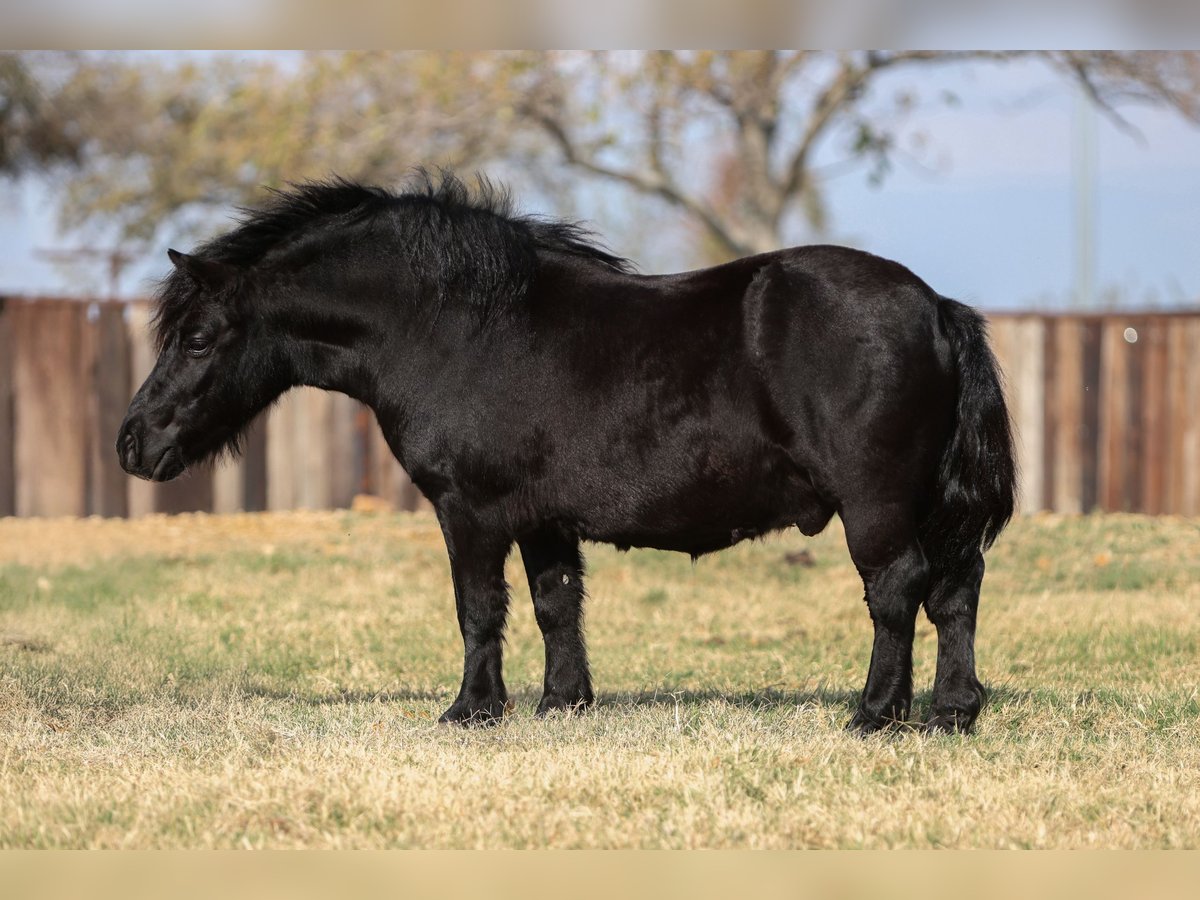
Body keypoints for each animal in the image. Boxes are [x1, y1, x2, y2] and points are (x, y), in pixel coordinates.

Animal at [117, 172, 1016, 734]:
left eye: (197, 338)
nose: (133, 442)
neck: (455, 328)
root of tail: (936, 308)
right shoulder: (543, 518)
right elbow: (556, 605)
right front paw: (562, 704)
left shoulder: (470, 511)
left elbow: (480, 608)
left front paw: (472, 711)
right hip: (932, 509)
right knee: (956, 591)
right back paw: (951, 713)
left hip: (877, 505)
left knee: (897, 592)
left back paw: (874, 715)